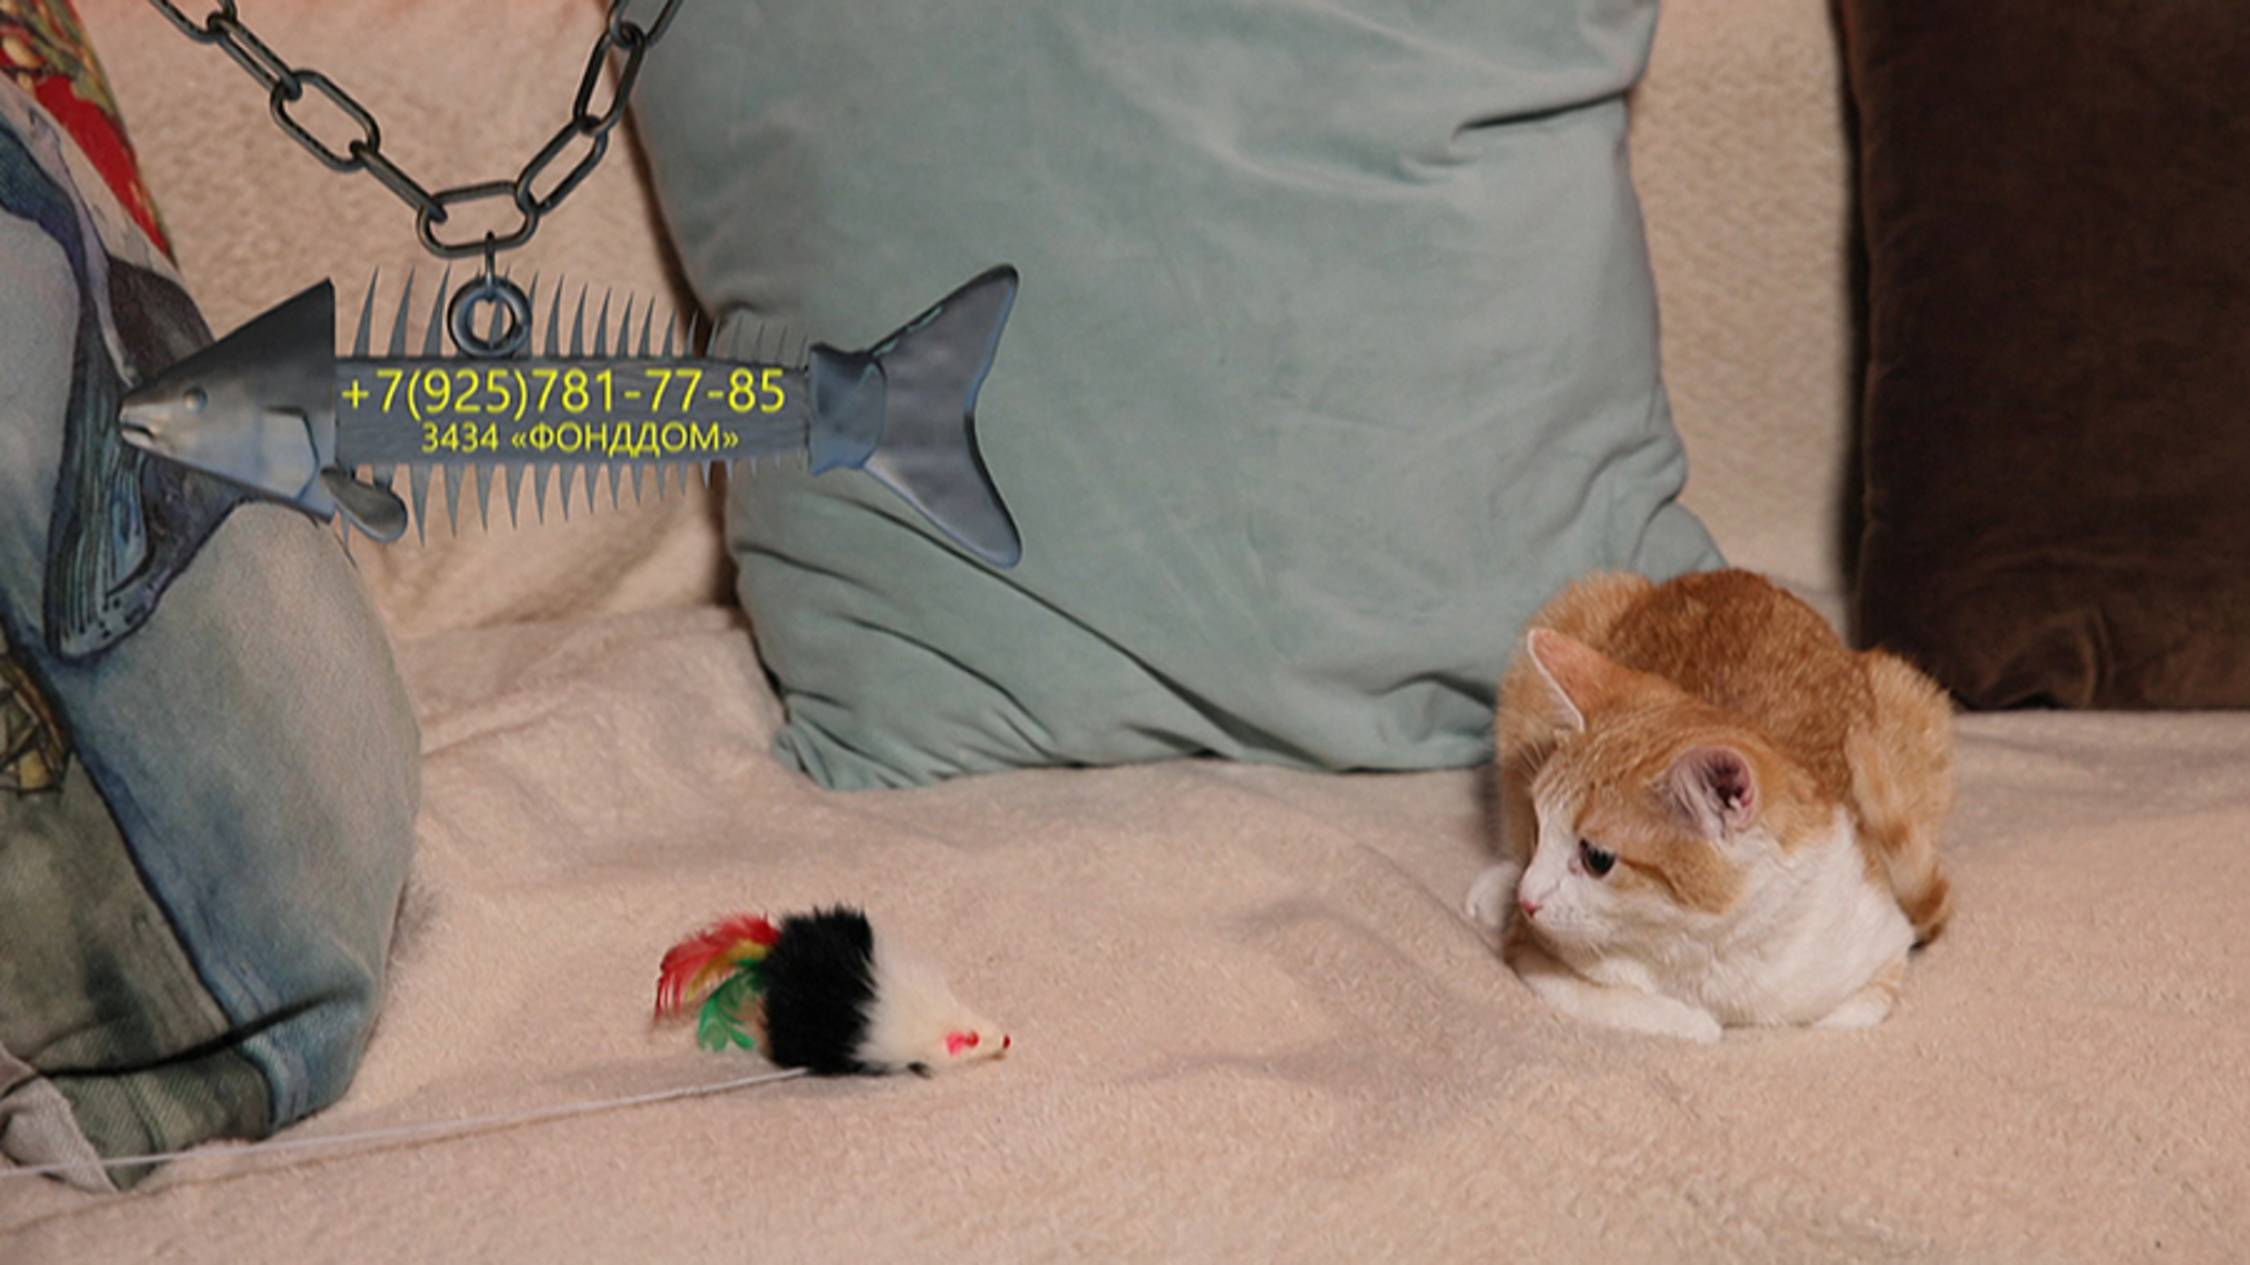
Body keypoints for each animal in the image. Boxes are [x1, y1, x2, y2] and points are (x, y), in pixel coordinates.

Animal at [1464, 569, 1954, 1043]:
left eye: (1597, 858)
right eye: (1540, 825)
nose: (1527, 900)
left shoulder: (1887, 942)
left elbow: (1847, 1017)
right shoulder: (1532, 954)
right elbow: (1659, 1014)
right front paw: (1695, 1020)